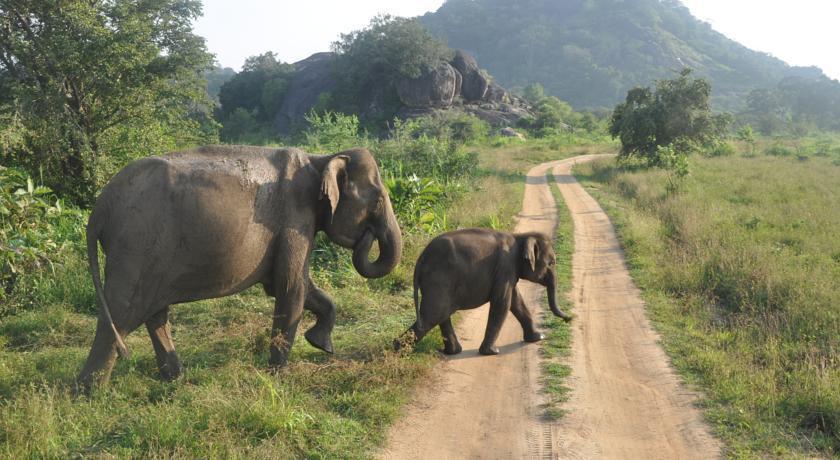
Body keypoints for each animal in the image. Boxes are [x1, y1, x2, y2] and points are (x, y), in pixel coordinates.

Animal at [77, 146, 402, 390]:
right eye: (377, 201)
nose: (368, 237)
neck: (320, 159)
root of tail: (99, 209)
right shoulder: (295, 219)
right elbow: (290, 287)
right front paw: (278, 377)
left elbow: (298, 287)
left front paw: (321, 345)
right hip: (135, 245)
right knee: (120, 314)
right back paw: (89, 393)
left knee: (153, 314)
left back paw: (175, 379)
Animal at [398, 228, 572, 354]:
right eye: (552, 263)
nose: (569, 318)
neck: (520, 237)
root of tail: (420, 260)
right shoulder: (505, 267)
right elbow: (502, 303)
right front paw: (492, 352)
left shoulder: (507, 272)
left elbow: (516, 301)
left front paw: (538, 337)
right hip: (438, 280)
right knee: (433, 314)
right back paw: (399, 351)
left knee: (441, 313)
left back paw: (452, 352)